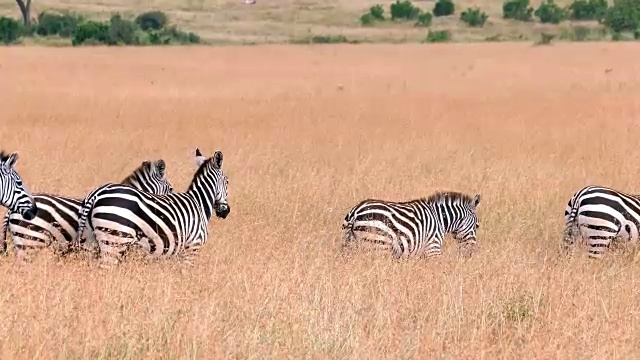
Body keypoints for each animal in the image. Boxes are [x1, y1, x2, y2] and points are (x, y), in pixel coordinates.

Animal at [74, 148, 231, 266]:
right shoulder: (192, 248)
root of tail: (95, 194)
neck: (199, 202)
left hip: (90, 242)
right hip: (113, 241)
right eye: (227, 182)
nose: (226, 211)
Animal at [340, 191, 480, 258]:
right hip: (378, 244)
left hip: (350, 245)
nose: (472, 252)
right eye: (477, 226)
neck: (440, 219)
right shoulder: (433, 246)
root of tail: (355, 212)